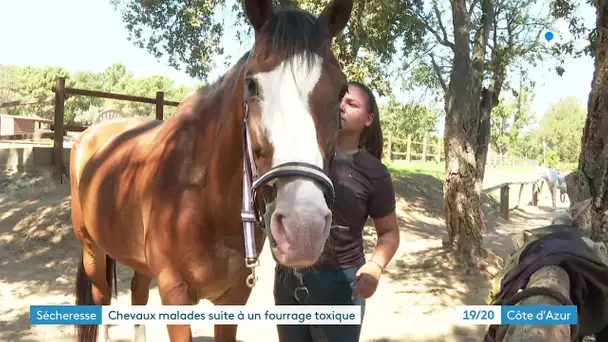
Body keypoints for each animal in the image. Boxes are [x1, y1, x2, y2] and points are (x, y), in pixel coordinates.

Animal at [69, 0, 354, 340]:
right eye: (251, 85)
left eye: (341, 91)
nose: (303, 230)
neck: (201, 196)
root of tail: (87, 135)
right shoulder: (175, 295)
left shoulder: (234, 298)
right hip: (92, 251)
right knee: (100, 299)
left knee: (137, 294)